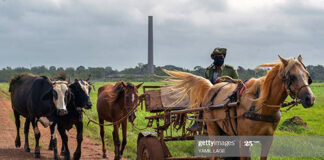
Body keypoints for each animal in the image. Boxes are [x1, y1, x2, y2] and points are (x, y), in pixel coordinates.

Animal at [163, 54, 316, 159]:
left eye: (307, 76)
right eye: (292, 76)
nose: (310, 99)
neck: (260, 105)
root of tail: (211, 87)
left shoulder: (267, 141)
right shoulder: (244, 141)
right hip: (213, 129)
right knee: (214, 154)